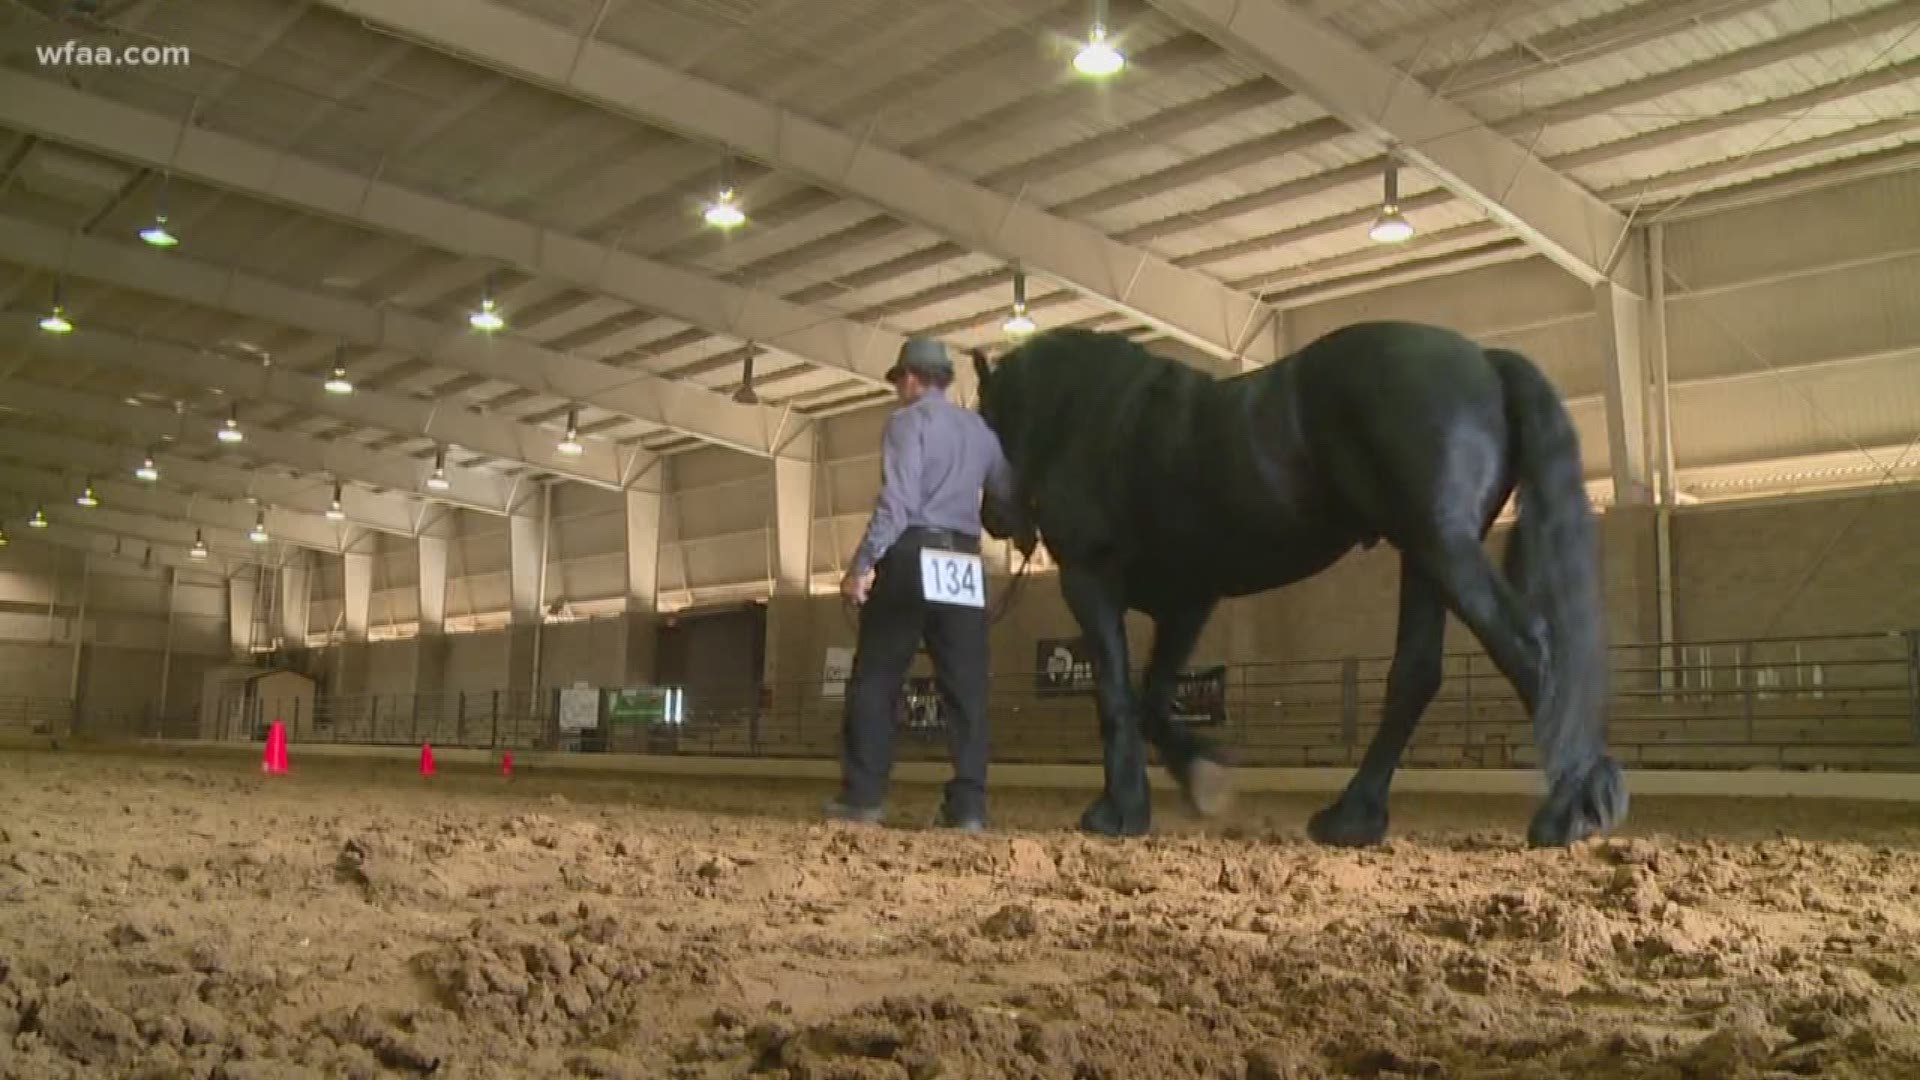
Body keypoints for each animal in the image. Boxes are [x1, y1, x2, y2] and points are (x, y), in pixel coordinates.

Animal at [975, 322, 1620, 845]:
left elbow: (1114, 695)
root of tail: (1485, 360)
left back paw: (1568, 810)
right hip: (1425, 556)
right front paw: (1203, 779)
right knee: (1415, 675)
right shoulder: (1187, 601)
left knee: (1529, 647)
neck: (1091, 416)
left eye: (983, 420)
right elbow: (1151, 700)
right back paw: (1353, 817)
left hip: (1445, 551)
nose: (994, 519)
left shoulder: (1091, 582)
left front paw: (1117, 812)